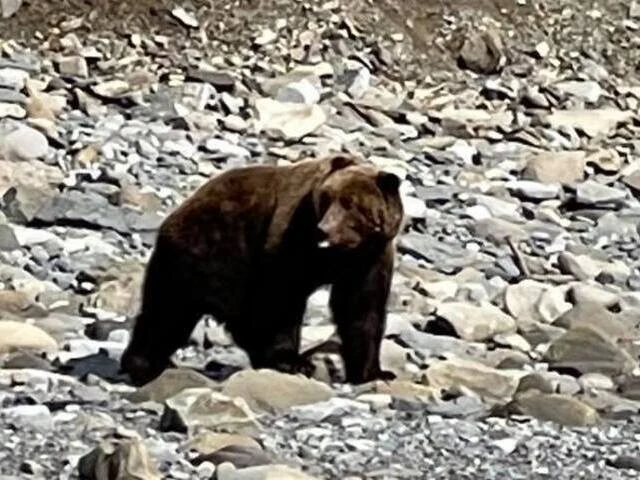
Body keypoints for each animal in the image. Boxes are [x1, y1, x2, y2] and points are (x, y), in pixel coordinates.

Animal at [119, 153, 404, 387]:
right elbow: (282, 298)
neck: (340, 253)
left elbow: (362, 308)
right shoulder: (291, 239)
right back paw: (144, 365)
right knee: (169, 312)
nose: (324, 229)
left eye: (350, 204)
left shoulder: (369, 258)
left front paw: (374, 372)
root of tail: (177, 212)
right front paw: (291, 361)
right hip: (206, 252)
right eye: (327, 199)